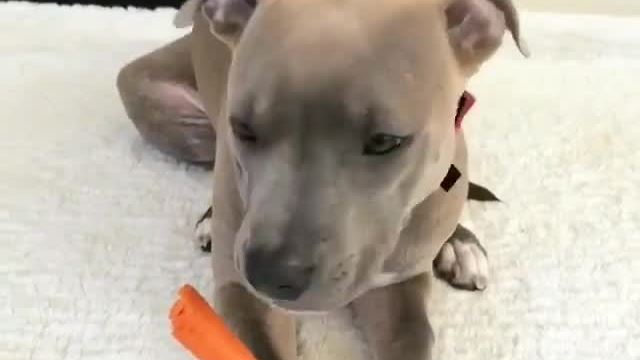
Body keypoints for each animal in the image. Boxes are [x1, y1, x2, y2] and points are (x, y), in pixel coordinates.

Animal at [117, 0, 528, 358]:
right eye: (243, 129)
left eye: (385, 141)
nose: (270, 275)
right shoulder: (242, 292)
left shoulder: (398, 289)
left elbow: (413, 338)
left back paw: (460, 242)